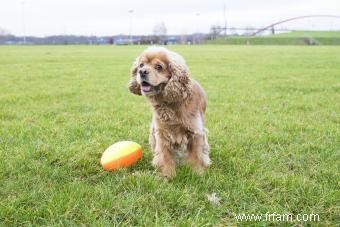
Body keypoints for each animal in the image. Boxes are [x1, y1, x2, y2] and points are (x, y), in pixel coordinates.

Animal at [129, 46, 211, 177]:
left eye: (159, 67)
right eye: (141, 65)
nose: (141, 72)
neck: (168, 103)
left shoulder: (196, 132)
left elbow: (196, 155)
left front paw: (197, 174)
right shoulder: (162, 133)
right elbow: (165, 156)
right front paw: (168, 176)